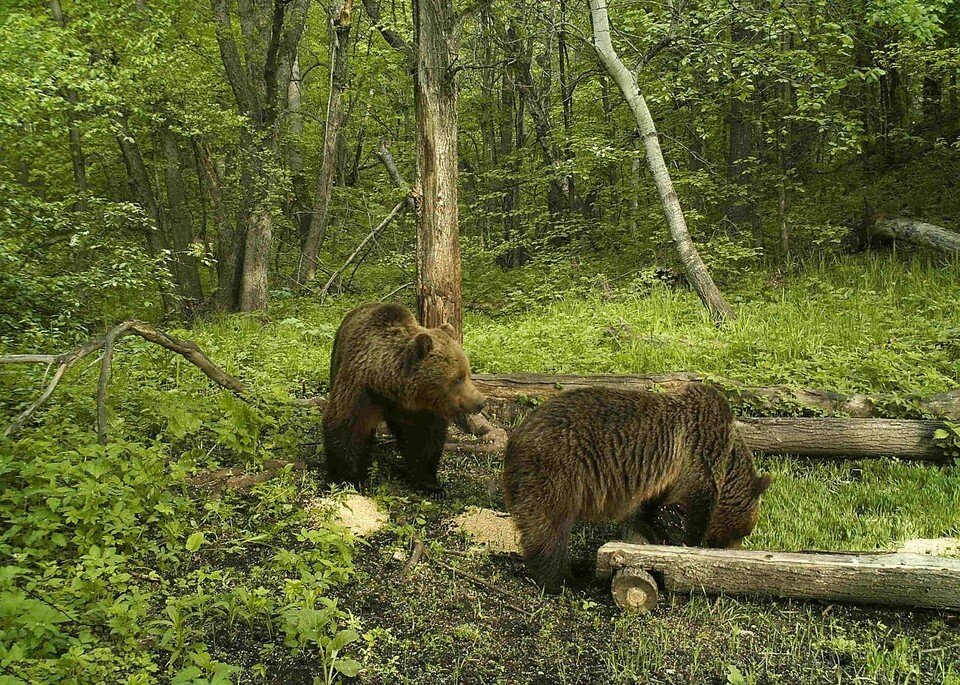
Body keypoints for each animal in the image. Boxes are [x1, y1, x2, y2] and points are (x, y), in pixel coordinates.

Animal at [324, 304, 488, 492]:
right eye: (458, 378)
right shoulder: (361, 390)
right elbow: (347, 427)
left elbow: (423, 439)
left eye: (468, 373)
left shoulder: (419, 408)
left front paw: (430, 484)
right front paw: (346, 480)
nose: (480, 402)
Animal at [502, 384, 772, 592]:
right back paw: (566, 579)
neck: (726, 465)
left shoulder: (660, 482)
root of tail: (515, 437)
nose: (736, 548)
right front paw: (686, 546)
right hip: (558, 470)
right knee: (549, 526)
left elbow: (653, 513)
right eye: (744, 532)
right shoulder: (696, 462)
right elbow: (684, 513)